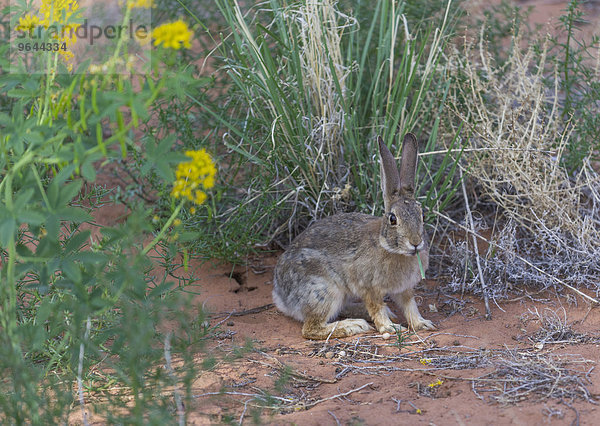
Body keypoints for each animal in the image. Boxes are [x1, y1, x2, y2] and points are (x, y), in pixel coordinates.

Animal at [272, 133, 436, 340]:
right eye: (393, 219)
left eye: (423, 216)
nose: (415, 243)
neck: (388, 247)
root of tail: (281, 295)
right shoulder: (369, 288)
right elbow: (376, 307)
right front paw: (391, 328)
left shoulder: (404, 289)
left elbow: (410, 305)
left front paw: (422, 323)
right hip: (324, 291)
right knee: (310, 329)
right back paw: (353, 326)